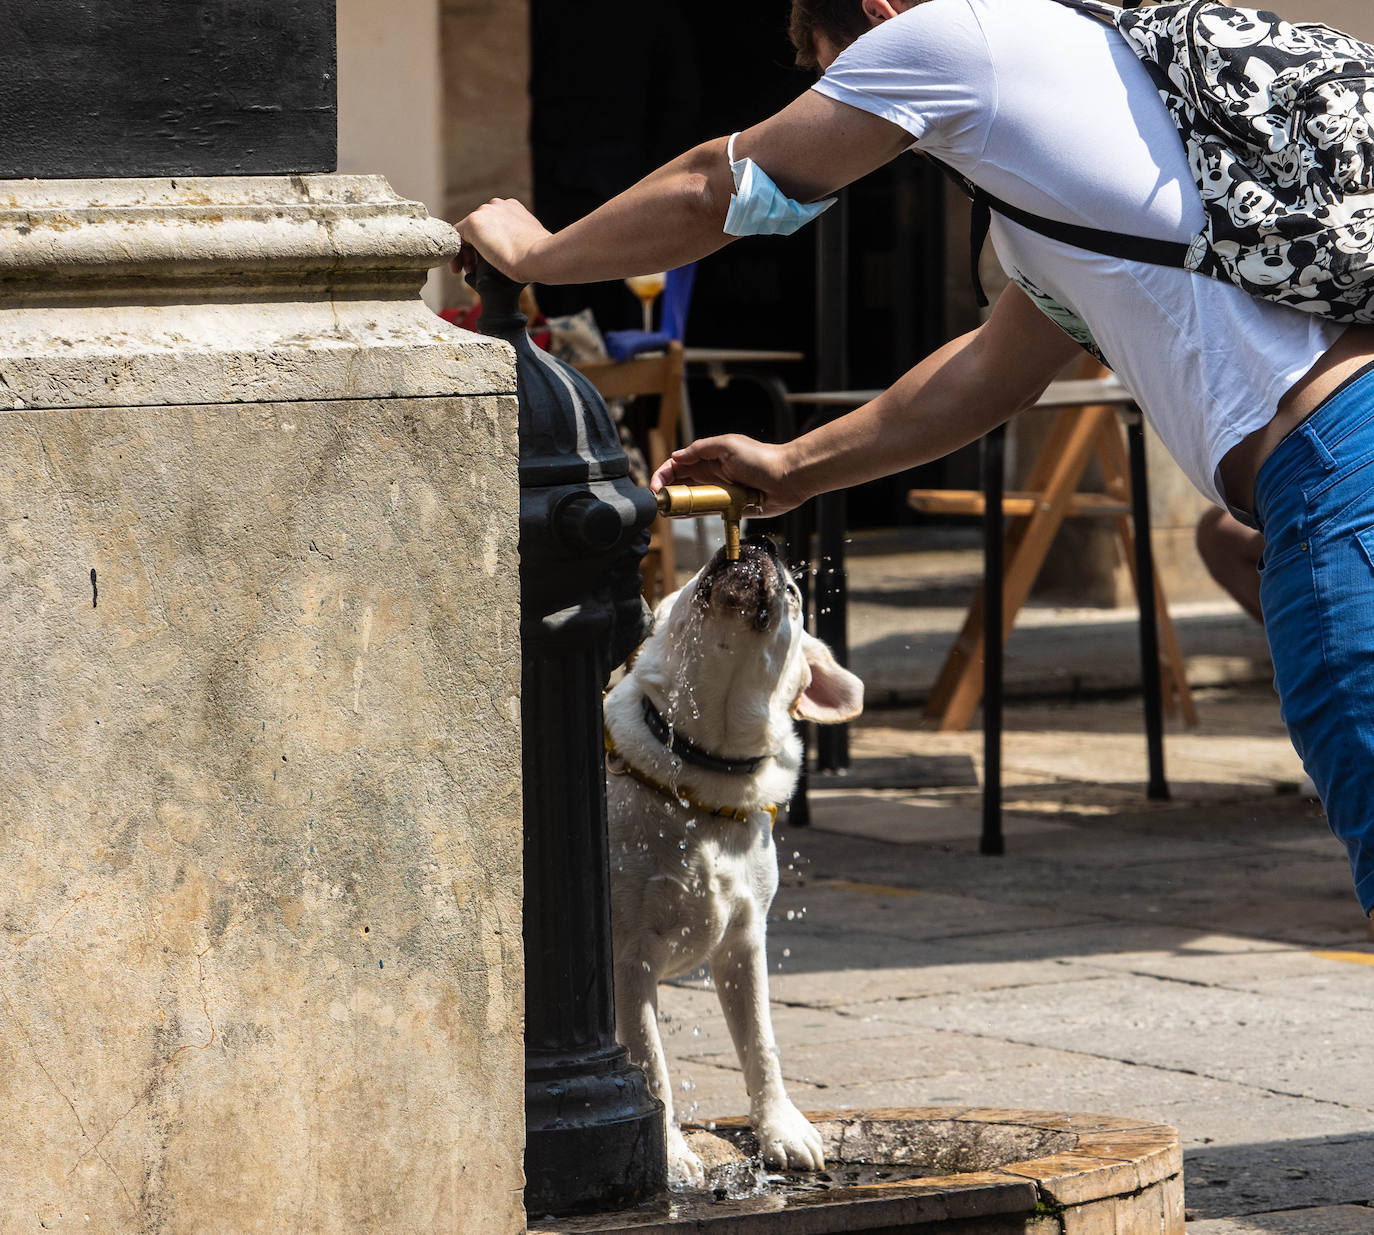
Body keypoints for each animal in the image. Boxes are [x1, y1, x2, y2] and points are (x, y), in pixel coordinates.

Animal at [601, 538, 857, 1186]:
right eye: (696, 575)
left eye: (794, 592)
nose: (757, 546)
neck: (699, 772)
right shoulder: (627, 960)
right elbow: (650, 1066)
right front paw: (669, 1155)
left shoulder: (744, 942)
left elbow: (761, 1043)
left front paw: (781, 1130)